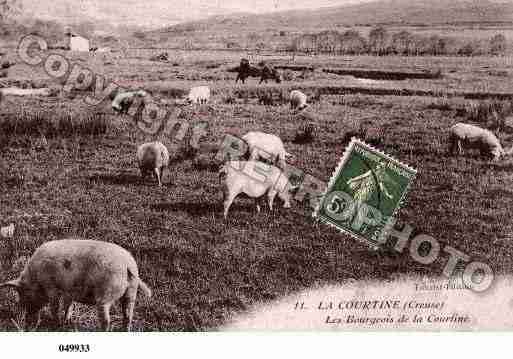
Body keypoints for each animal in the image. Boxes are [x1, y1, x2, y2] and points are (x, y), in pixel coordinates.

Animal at [0, 239, 151, 332]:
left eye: (23, 293)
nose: (26, 316)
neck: (35, 277)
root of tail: (127, 264)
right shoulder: (69, 291)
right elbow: (68, 305)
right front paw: (65, 321)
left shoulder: (51, 287)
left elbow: (55, 306)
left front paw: (56, 323)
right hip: (131, 292)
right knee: (128, 316)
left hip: (105, 294)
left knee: (106, 321)